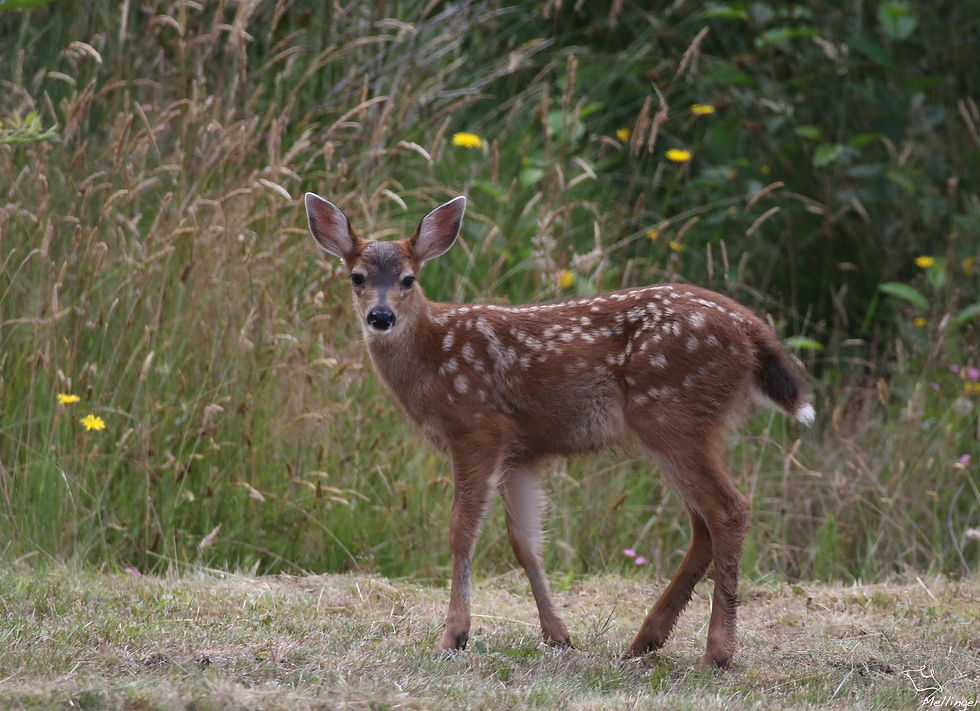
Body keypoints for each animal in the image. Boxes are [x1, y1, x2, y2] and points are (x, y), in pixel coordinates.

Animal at [304, 192, 814, 668]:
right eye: (357, 278)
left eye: (409, 279)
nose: (381, 317)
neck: (435, 358)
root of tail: (752, 329)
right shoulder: (520, 452)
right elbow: (526, 543)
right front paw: (558, 635)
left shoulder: (477, 427)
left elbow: (461, 529)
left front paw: (453, 637)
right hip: (689, 425)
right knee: (703, 523)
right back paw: (645, 640)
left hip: (673, 414)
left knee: (729, 509)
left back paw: (717, 652)